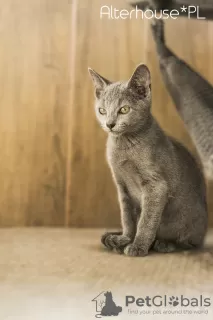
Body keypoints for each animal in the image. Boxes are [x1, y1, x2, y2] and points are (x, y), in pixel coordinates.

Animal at [88, 63, 208, 256]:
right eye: (102, 110)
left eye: (124, 109)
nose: (110, 124)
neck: (124, 145)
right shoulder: (122, 185)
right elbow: (127, 217)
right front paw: (125, 239)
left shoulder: (156, 185)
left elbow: (147, 219)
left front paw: (138, 246)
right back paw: (112, 239)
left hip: (189, 223)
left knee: (190, 243)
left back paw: (165, 244)